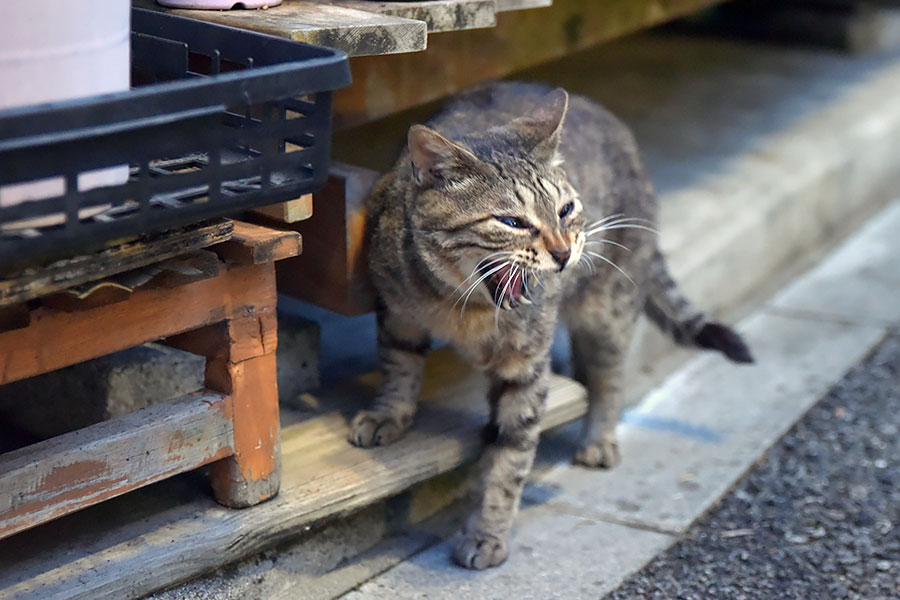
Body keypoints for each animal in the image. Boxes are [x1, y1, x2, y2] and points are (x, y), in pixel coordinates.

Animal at [348, 82, 748, 568]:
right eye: (512, 222)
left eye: (565, 209)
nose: (562, 252)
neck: (461, 308)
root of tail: (606, 114)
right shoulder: (397, 313)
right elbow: (398, 369)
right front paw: (389, 415)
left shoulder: (526, 368)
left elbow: (510, 458)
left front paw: (487, 532)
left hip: (610, 308)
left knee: (609, 378)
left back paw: (598, 439)